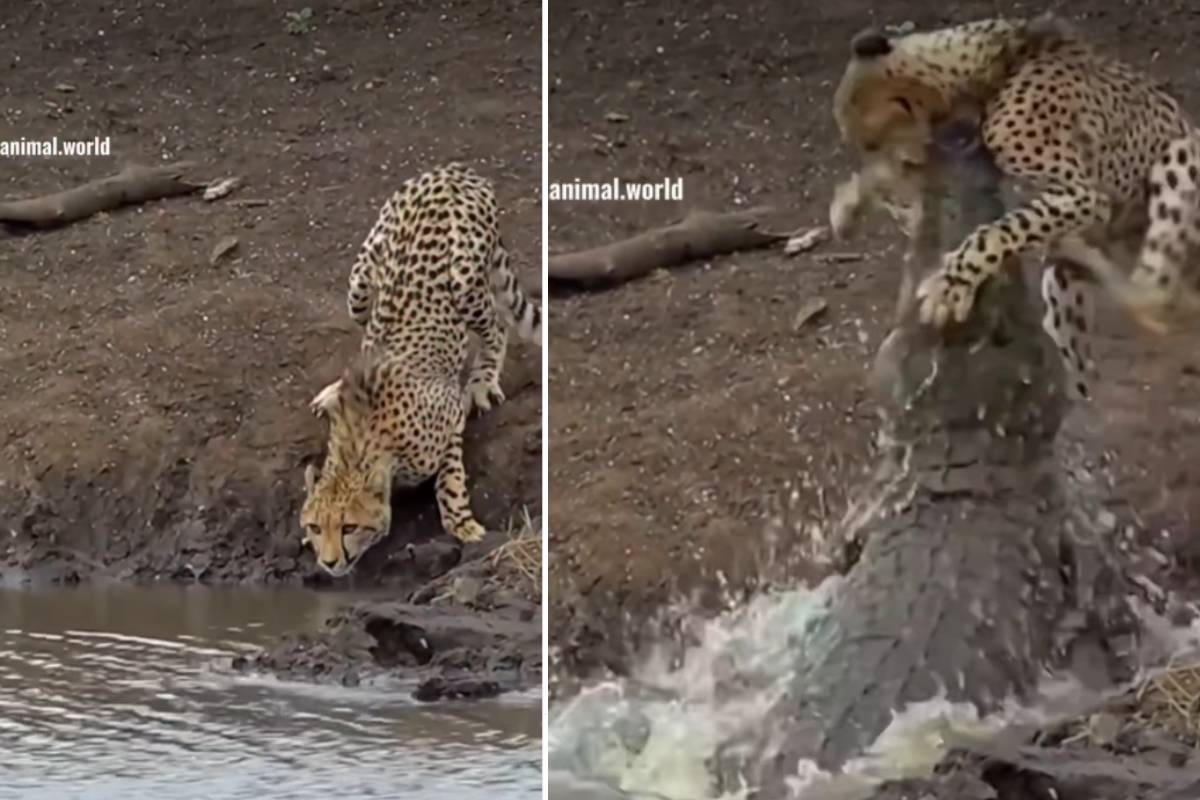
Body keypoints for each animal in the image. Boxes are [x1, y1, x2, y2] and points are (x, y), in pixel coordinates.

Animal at [300, 162, 541, 577]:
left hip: (463, 278)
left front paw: (463, 524)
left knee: (496, 325)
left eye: (349, 527)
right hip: (360, 283)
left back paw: (482, 380)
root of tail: (453, 169)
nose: (329, 563)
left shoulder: (450, 413)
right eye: (315, 527)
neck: (361, 442)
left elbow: (450, 480)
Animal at [830, 14, 1200, 400]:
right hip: (1063, 287)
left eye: (871, 142)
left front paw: (949, 286)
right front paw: (849, 205)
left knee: (1154, 295)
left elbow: (996, 232)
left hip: (1182, 154)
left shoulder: (1083, 195)